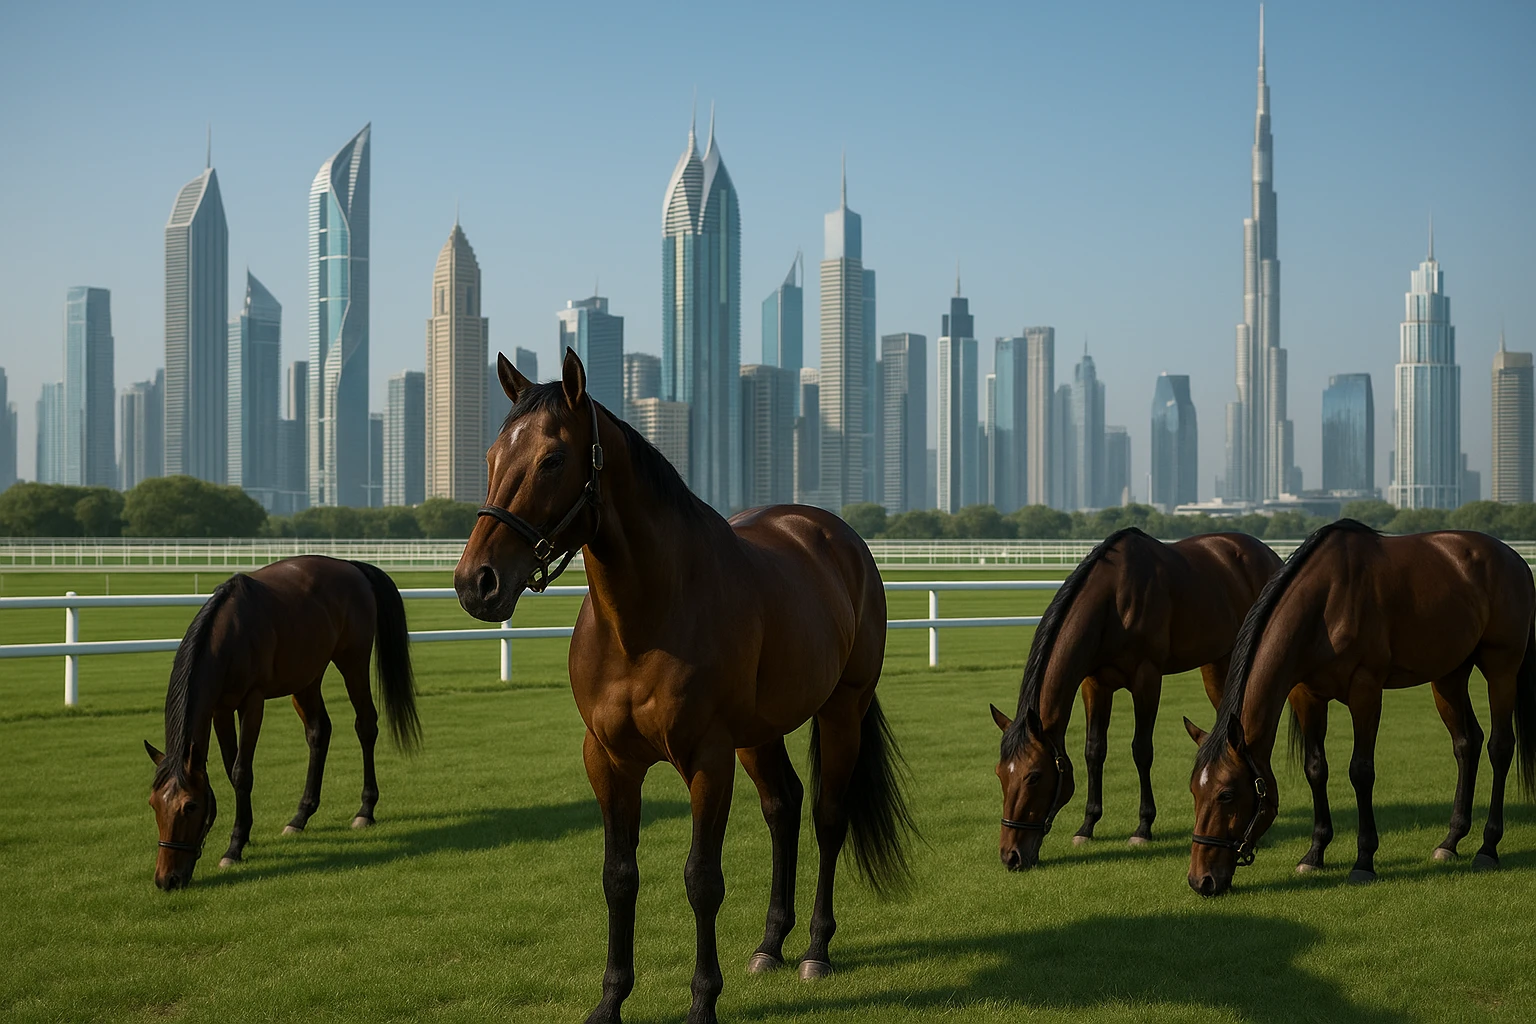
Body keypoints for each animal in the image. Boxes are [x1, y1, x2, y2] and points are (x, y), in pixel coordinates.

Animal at [145, 556, 419, 890]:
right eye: (154, 804)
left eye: (190, 806)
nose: (166, 879)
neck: (230, 633)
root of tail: (350, 566)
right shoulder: (220, 709)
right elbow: (231, 768)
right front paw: (245, 835)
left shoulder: (252, 702)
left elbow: (241, 772)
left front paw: (234, 848)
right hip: (307, 679)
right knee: (319, 731)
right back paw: (300, 817)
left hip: (352, 660)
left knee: (366, 725)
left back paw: (365, 810)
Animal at [456, 349, 914, 1024]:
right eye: (491, 456)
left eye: (553, 459)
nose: (476, 582)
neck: (644, 624)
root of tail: (836, 536)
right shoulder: (609, 760)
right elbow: (619, 875)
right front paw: (610, 1000)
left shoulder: (707, 760)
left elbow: (703, 879)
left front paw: (702, 1002)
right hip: (759, 734)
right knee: (784, 807)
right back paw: (770, 944)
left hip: (840, 711)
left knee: (828, 817)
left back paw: (814, 950)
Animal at [989, 527, 1283, 870]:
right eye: (1000, 773)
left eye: (1034, 776)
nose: (1010, 856)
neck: (1113, 601)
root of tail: (1267, 554)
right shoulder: (1095, 684)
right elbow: (1094, 750)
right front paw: (1087, 826)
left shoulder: (1147, 679)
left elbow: (1141, 750)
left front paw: (1143, 827)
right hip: (1218, 663)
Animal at [1186, 519, 1536, 896]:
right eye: (1194, 790)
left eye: (1226, 794)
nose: (1201, 880)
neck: (1326, 603)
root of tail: (1514, 559)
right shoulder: (1307, 696)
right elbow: (1315, 769)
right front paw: (1314, 853)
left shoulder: (1365, 691)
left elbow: (1361, 771)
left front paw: (1364, 860)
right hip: (1448, 675)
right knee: (1466, 743)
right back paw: (1450, 841)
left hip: (1502, 668)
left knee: (1500, 747)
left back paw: (1488, 847)